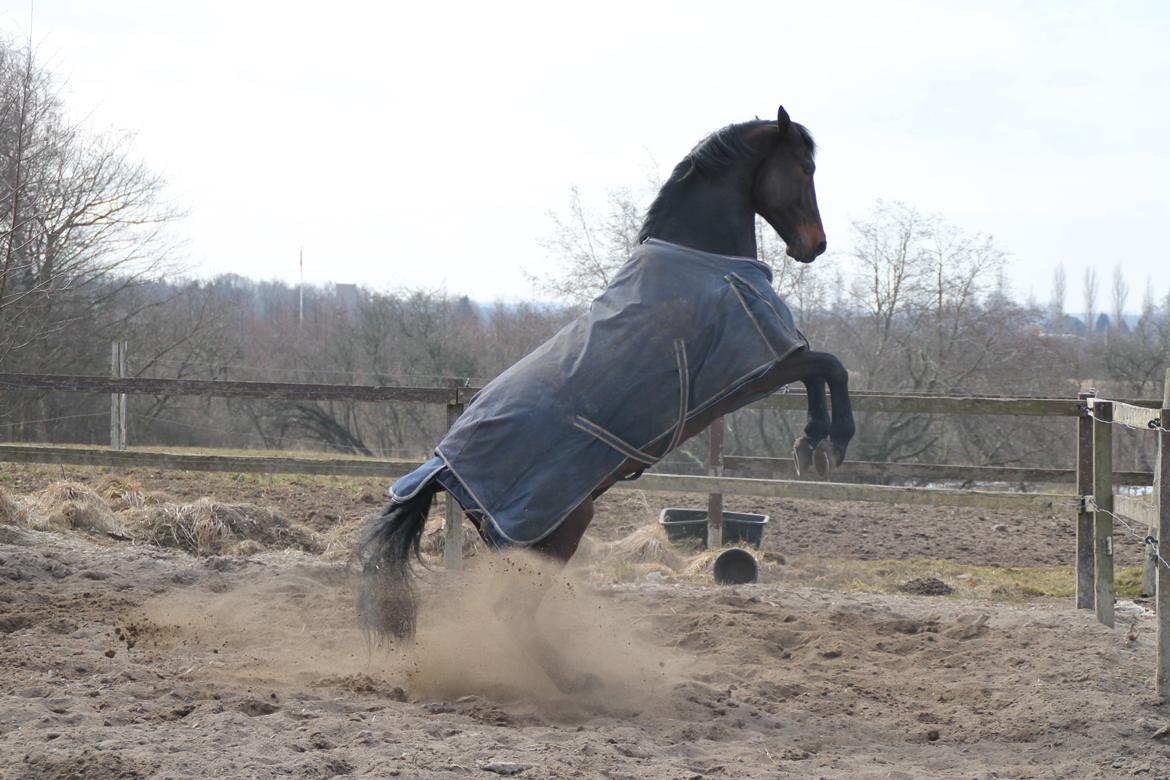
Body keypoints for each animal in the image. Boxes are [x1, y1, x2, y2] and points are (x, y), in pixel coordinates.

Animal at [355, 105, 851, 696]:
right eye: (804, 168)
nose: (815, 244)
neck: (703, 259)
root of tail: (440, 468)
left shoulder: (762, 372)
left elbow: (823, 372)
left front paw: (812, 447)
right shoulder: (762, 368)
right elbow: (828, 367)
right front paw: (825, 444)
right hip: (554, 533)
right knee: (511, 614)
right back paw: (568, 681)